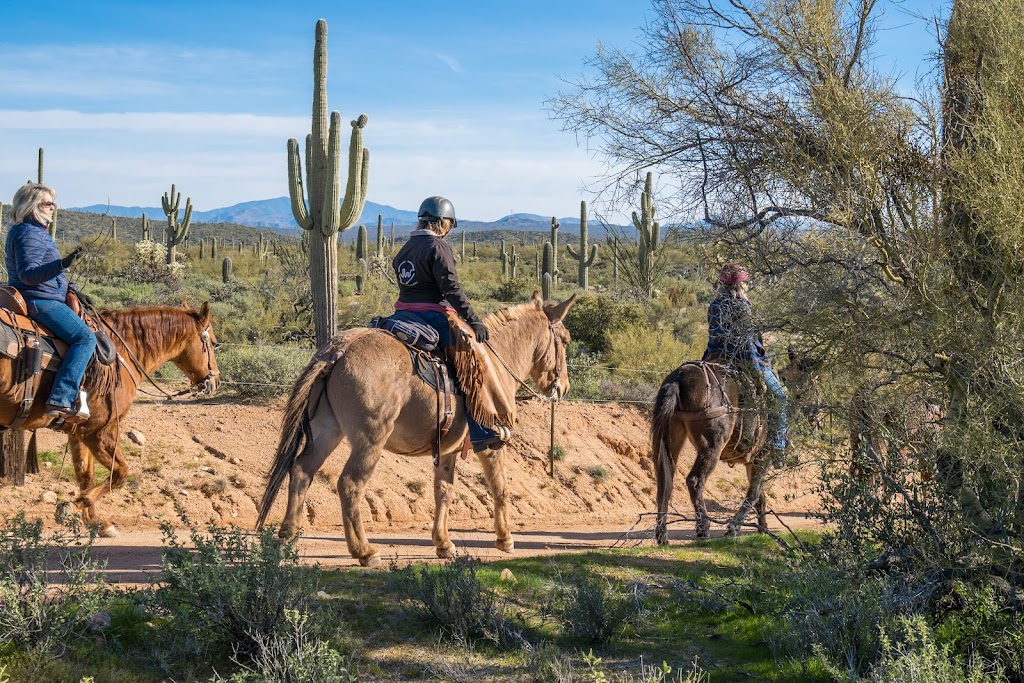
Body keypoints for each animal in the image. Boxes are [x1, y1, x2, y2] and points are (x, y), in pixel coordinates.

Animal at [0, 303, 222, 532]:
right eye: (213, 343)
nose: (216, 381)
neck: (122, 352)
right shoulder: (101, 431)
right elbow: (120, 473)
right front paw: (76, 504)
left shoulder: (78, 431)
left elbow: (85, 476)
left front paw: (95, 522)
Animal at [256, 292, 577, 565]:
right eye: (565, 339)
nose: (562, 387)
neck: (496, 364)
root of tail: (339, 349)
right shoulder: (490, 443)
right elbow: (500, 487)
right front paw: (505, 539)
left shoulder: (447, 452)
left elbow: (444, 492)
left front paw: (444, 544)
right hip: (369, 440)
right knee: (349, 484)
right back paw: (364, 551)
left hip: (327, 430)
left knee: (301, 471)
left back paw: (286, 539)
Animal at [647, 358, 770, 544]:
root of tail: (678, 378)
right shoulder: (762, 458)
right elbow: (754, 494)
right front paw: (734, 527)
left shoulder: (753, 462)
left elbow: (759, 495)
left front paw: (762, 528)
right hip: (712, 446)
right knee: (695, 481)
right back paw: (703, 528)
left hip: (671, 439)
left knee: (664, 482)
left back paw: (662, 535)